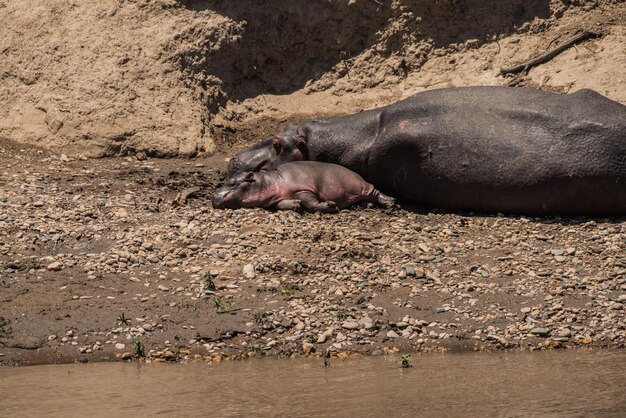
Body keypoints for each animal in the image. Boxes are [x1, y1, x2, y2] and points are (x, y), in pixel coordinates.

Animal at [212, 160, 392, 212]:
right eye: (228, 180)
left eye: (233, 183)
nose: (213, 196)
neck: (270, 181)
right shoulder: (277, 198)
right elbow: (282, 204)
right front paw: (295, 205)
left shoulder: (304, 188)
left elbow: (310, 202)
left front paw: (330, 205)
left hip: (362, 186)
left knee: (375, 191)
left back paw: (389, 202)